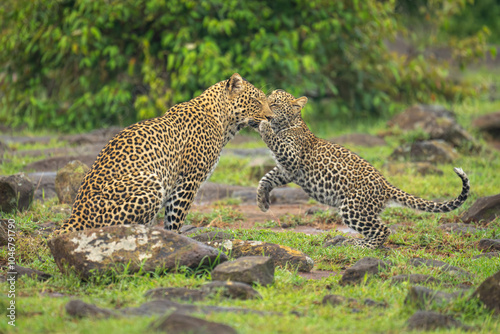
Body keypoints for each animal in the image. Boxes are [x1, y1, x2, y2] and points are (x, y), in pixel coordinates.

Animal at [57, 74, 274, 234]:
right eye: (256, 101)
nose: (271, 117)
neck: (223, 122)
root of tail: (75, 216)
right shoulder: (188, 179)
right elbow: (175, 215)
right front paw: (175, 239)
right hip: (152, 184)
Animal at [256, 90, 470, 249]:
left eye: (274, 104)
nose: (264, 112)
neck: (288, 125)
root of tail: (386, 186)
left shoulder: (292, 158)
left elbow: (275, 143)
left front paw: (264, 126)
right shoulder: (286, 170)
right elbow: (266, 179)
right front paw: (262, 202)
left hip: (353, 207)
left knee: (383, 230)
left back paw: (361, 245)